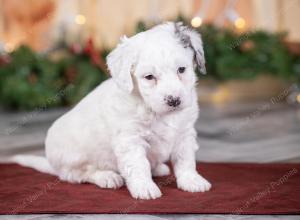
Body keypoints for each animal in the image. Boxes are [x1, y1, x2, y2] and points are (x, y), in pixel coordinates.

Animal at [12, 21, 211, 199]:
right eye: (149, 77)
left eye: (181, 69)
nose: (174, 100)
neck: (154, 111)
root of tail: (53, 165)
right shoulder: (130, 140)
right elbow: (139, 165)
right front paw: (145, 188)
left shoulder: (185, 133)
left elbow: (185, 160)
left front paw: (191, 181)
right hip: (73, 157)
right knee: (79, 174)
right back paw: (107, 177)